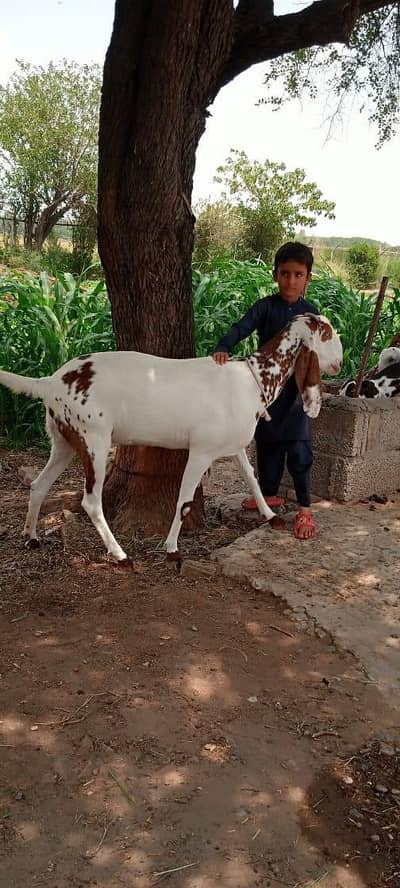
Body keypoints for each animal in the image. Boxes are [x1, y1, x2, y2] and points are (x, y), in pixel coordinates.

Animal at [0, 313, 342, 564]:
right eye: (326, 333)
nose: (340, 362)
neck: (252, 378)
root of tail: (51, 382)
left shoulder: (234, 447)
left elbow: (252, 479)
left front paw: (270, 516)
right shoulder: (201, 451)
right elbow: (184, 501)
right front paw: (172, 547)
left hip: (64, 440)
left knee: (39, 484)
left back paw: (31, 536)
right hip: (94, 439)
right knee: (91, 501)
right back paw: (120, 554)